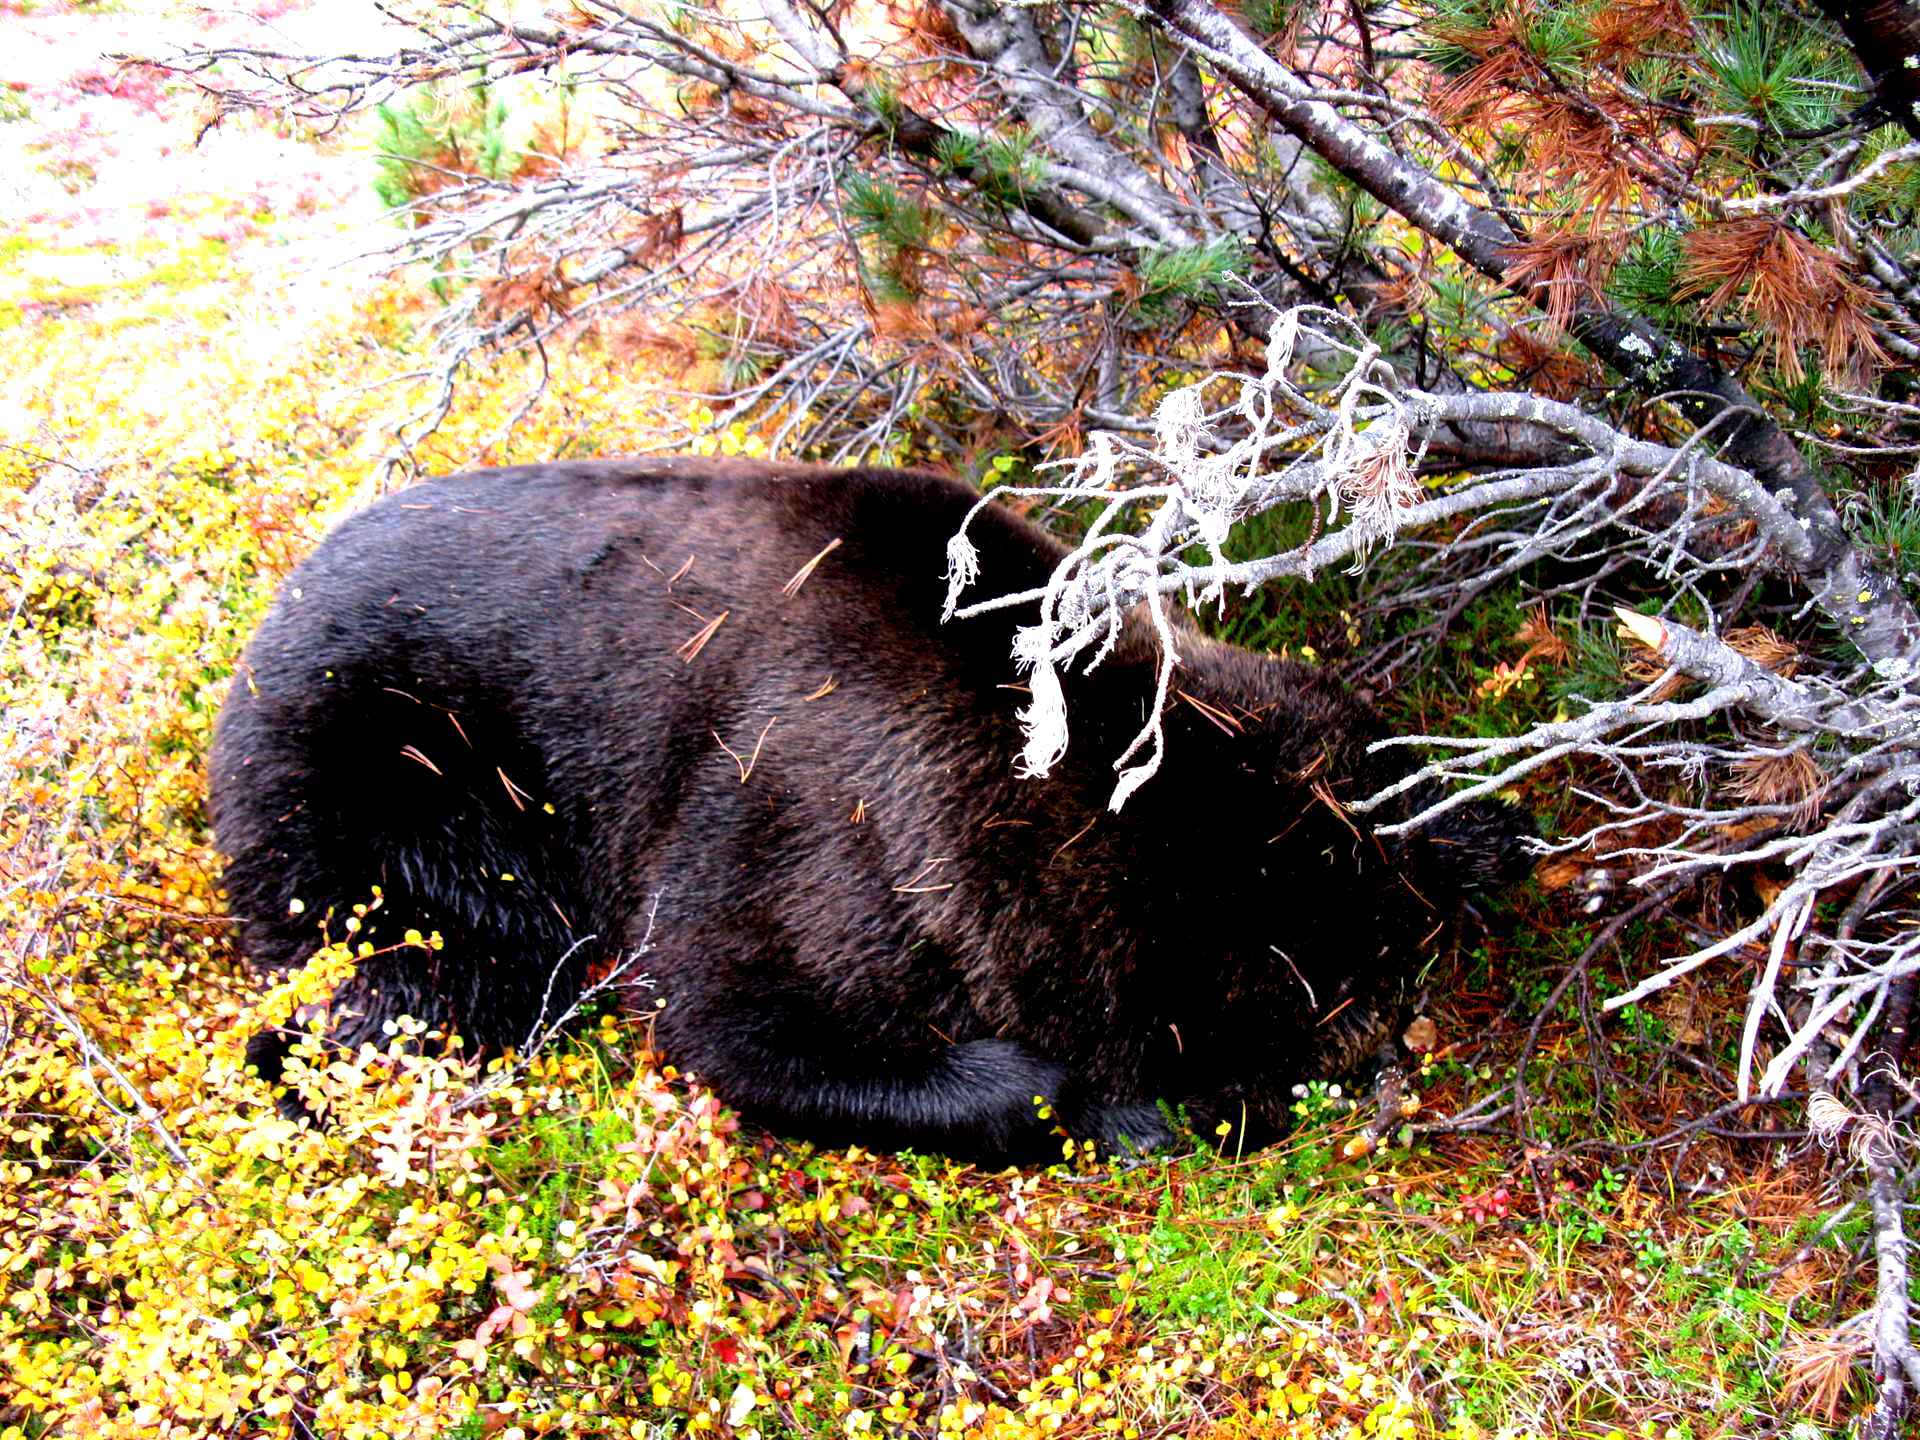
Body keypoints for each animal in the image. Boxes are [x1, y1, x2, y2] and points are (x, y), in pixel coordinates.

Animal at [214, 458, 1528, 1159]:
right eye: (1324, 1001)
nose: (1398, 1059)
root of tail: (257, 638)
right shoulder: (802, 818)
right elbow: (735, 1013)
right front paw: (1110, 1102)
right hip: (388, 773)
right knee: (428, 977)